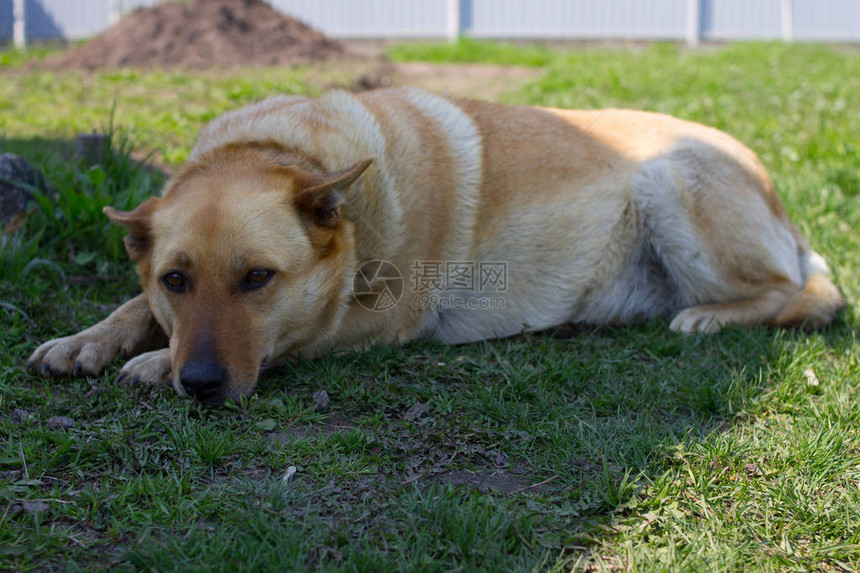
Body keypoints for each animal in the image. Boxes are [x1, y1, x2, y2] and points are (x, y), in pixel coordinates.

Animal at [26, 88, 848, 402]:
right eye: (176, 280)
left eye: (259, 278)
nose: (197, 382)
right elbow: (131, 303)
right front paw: (89, 339)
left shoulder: (384, 318)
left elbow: (299, 333)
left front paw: (152, 362)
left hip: (674, 184)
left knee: (812, 294)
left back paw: (711, 315)